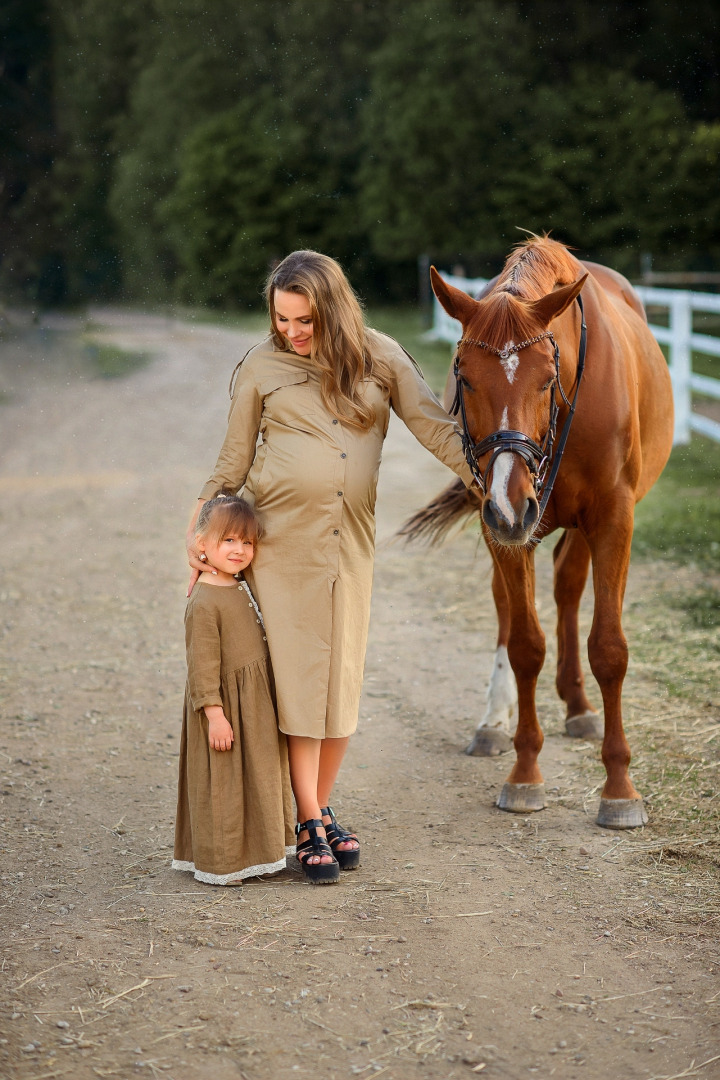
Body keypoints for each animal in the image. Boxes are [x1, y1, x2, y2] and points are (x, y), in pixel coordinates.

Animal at [405, 236, 677, 825]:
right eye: (464, 376)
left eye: (547, 380)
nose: (511, 504)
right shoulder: (503, 523)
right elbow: (526, 644)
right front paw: (525, 773)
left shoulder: (612, 518)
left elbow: (609, 649)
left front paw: (619, 788)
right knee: (508, 609)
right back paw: (493, 722)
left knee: (569, 587)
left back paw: (577, 706)